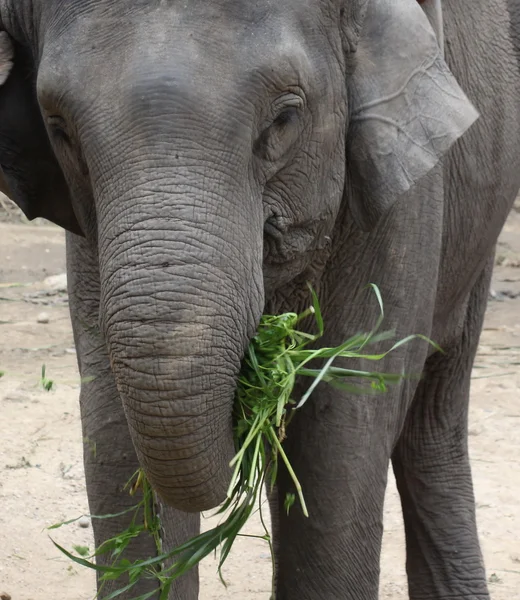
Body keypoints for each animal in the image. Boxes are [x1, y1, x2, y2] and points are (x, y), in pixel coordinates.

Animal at [0, 0, 516, 596]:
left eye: (284, 118)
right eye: (59, 130)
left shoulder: (399, 186)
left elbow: (343, 423)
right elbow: (112, 420)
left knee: (435, 412)